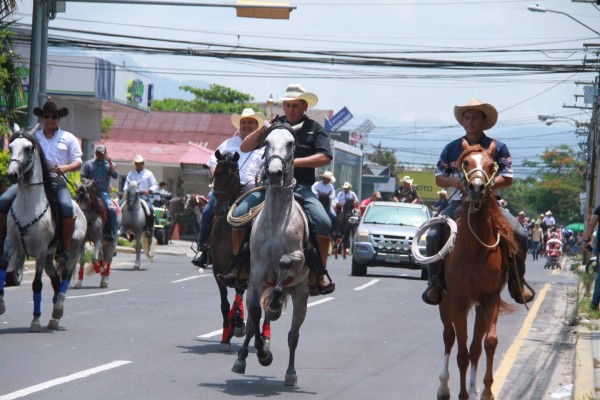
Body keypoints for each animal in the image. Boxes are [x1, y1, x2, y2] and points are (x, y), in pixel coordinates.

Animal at [232, 123, 310, 386]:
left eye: (291, 143)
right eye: (265, 143)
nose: (274, 173)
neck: (277, 218)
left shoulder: (298, 260)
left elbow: (285, 262)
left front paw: (275, 306)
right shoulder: (256, 271)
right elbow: (255, 313)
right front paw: (261, 354)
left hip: (301, 294)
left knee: (294, 335)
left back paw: (291, 373)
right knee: (252, 320)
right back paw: (242, 357)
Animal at [436, 139, 520, 398]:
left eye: (492, 165)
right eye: (465, 163)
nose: (476, 187)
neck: (473, 250)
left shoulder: (489, 298)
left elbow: (485, 344)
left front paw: (483, 391)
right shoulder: (458, 301)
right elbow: (462, 352)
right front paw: (463, 393)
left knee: (475, 345)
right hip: (444, 302)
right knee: (449, 337)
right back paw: (443, 387)